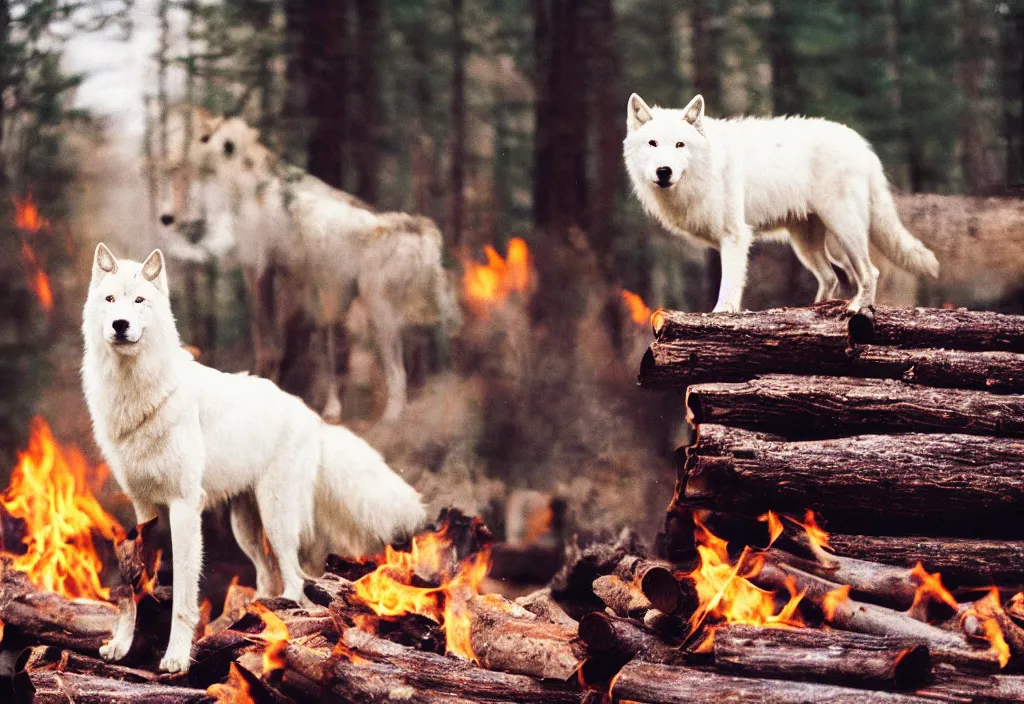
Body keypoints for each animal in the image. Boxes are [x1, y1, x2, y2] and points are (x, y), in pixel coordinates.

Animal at [157, 110, 458, 421]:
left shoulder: (260, 269)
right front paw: (322, 404)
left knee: (398, 374)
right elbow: (313, 352)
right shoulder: (306, 287)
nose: (166, 218)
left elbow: (268, 343)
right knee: (435, 355)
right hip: (417, 316)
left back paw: (392, 417)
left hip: (381, 314)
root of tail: (423, 231)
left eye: (188, 170)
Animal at [618, 92, 937, 313]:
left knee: (869, 272)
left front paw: (722, 313)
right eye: (652, 144)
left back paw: (858, 308)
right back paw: (811, 310)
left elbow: (729, 285)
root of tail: (863, 146)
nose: (664, 171)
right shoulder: (724, 242)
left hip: (844, 231)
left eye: (679, 145)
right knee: (833, 276)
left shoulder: (735, 237)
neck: (705, 170)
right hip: (808, 245)